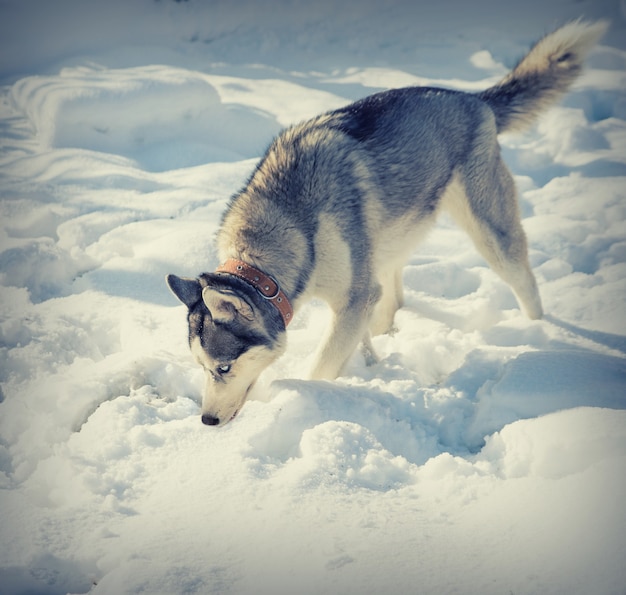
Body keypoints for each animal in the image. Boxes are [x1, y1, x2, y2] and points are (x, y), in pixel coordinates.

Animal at [166, 21, 604, 426]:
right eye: (201, 368)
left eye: (223, 367)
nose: (207, 420)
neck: (291, 224)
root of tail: (470, 98)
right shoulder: (356, 297)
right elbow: (358, 332)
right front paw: (368, 364)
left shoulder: (352, 296)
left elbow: (323, 364)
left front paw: (306, 399)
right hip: (391, 238)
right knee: (394, 296)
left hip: (489, 232)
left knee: (524, 282)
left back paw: (536, 336)